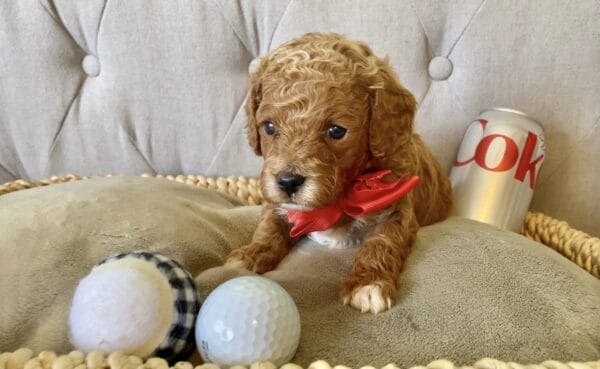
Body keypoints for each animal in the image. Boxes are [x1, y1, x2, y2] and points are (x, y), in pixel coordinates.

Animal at [227, 32, 452, 314]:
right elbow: (269, 227)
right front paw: (251, 253)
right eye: (268, 127)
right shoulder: (276, 203)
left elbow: (383, 240)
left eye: (337, 131)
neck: (338, 198)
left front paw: (369, 283)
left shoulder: (397, 206)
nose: (288, 182)